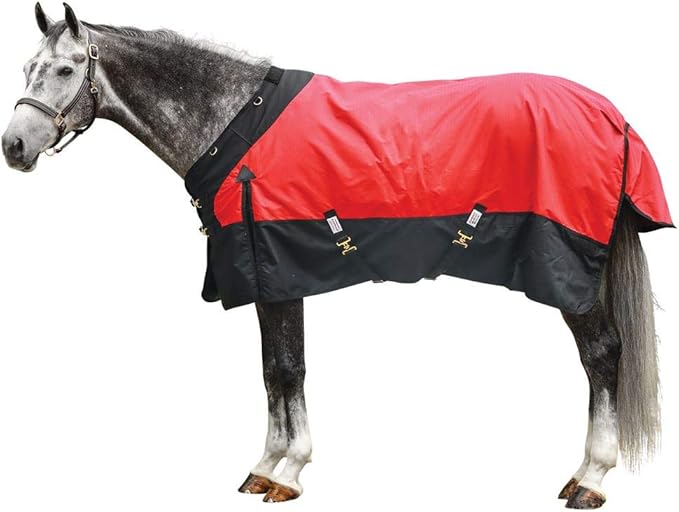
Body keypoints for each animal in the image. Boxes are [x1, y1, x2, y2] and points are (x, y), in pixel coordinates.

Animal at [1, 4, 669, 508]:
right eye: (27, 67)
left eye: (64, 69)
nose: (13, 146)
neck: (234, 122)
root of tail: (612, 115)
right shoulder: (264, 279)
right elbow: (271, 370)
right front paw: (264, 466)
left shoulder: (279, 272)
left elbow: (288, 368)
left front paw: (289, 472)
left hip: (569, 271)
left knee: (602, 355)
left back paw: (589, 479)